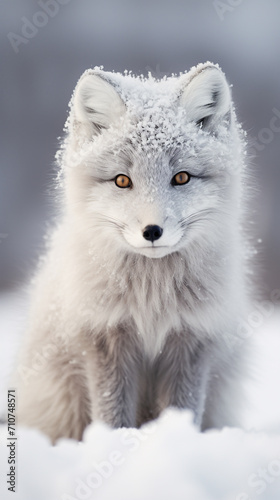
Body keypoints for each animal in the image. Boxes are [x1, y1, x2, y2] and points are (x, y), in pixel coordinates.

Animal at [16, 62, 250, 442]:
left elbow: (182, 409)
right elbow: (113, 414)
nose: (152, 232)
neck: (151, 299)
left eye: (181, 177)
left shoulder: (191, 339)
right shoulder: (105, 337)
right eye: (122, 181)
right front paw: (115, 447)